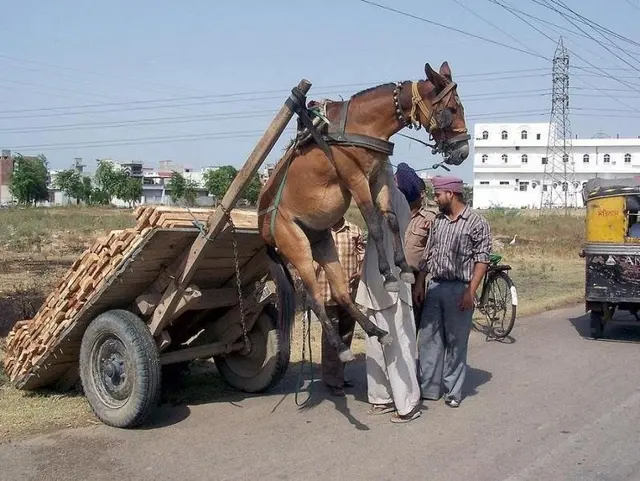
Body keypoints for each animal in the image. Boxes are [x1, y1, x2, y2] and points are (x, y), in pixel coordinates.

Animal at [256, 61, 470, 360]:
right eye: (451, 110)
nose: (463, 151)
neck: (362, 125)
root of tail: (264, 229)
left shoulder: (378, 177)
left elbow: (391, 220)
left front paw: (403, 267)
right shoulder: (355, 179)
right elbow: (375, 225)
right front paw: (389, 275)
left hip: (322, 243)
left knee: (341, 293)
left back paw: (377, 332)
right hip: (296, 247)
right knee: (314, 299)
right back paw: (340, 346)